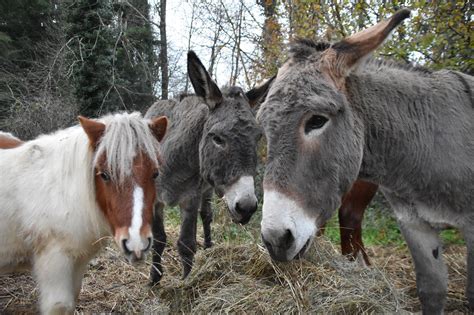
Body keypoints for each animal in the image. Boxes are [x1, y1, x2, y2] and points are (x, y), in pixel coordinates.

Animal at [0, 113, 168, 314]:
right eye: (104, 175)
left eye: (155, 173)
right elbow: (59, 306)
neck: (62, 192)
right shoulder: (54, 263)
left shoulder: (77, 263)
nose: (136, 243)